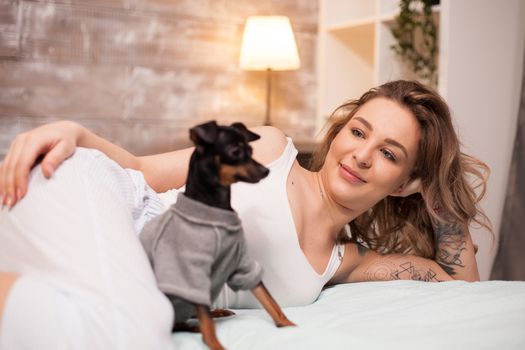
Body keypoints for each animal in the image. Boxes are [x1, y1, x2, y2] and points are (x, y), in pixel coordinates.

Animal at [139, 121, 294, 350]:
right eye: (236, 152)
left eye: (251, 151)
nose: (266, 171)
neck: (216, 210)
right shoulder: (193, 274)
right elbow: (208, 326)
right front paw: (215, 344)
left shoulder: (242, 263)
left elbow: (268, 298)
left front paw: (289, 325)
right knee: (182, 322)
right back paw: (197, 326)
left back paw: (216, 313)